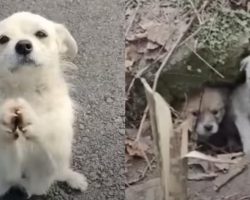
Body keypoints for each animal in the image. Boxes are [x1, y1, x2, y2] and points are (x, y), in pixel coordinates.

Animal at [0, 11, 88, 197]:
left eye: (41, 34)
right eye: (3, 39)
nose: (23, 45)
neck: (25, 91)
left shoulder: (48, 164)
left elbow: (50, 140)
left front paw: (36, 123)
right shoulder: (8, 172)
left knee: (62, 171)